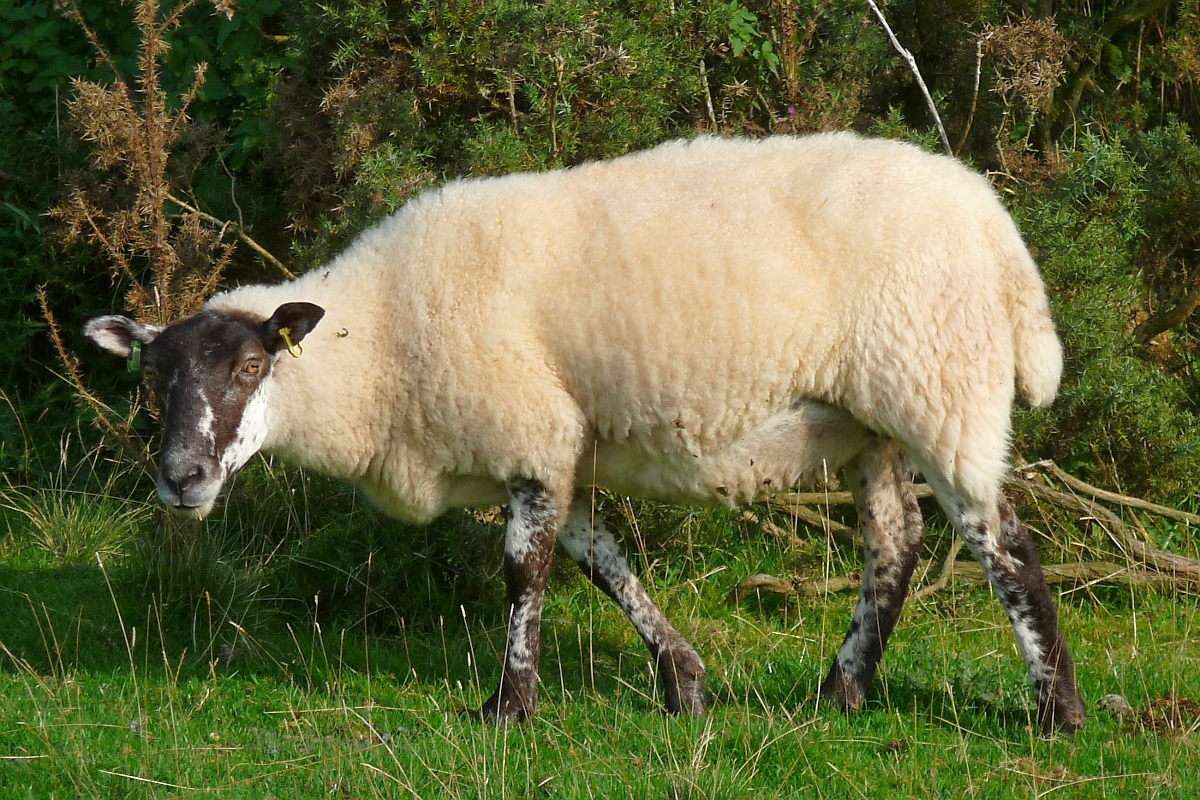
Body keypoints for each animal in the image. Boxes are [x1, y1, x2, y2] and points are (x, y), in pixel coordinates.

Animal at [84, 130, 1089, 734]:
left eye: (251, 371)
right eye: (154, 380)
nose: (182, 479)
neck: (377, 341)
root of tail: (999, 231)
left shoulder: (528, 429)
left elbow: (523, 572)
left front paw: (508, 706)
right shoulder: (551, 442)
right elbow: (600, 559)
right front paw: (684, 680)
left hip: (940, 386)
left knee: (1005, 545)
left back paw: (1057, 711)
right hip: (869, 420)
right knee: (896, 540)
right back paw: (841, 691)